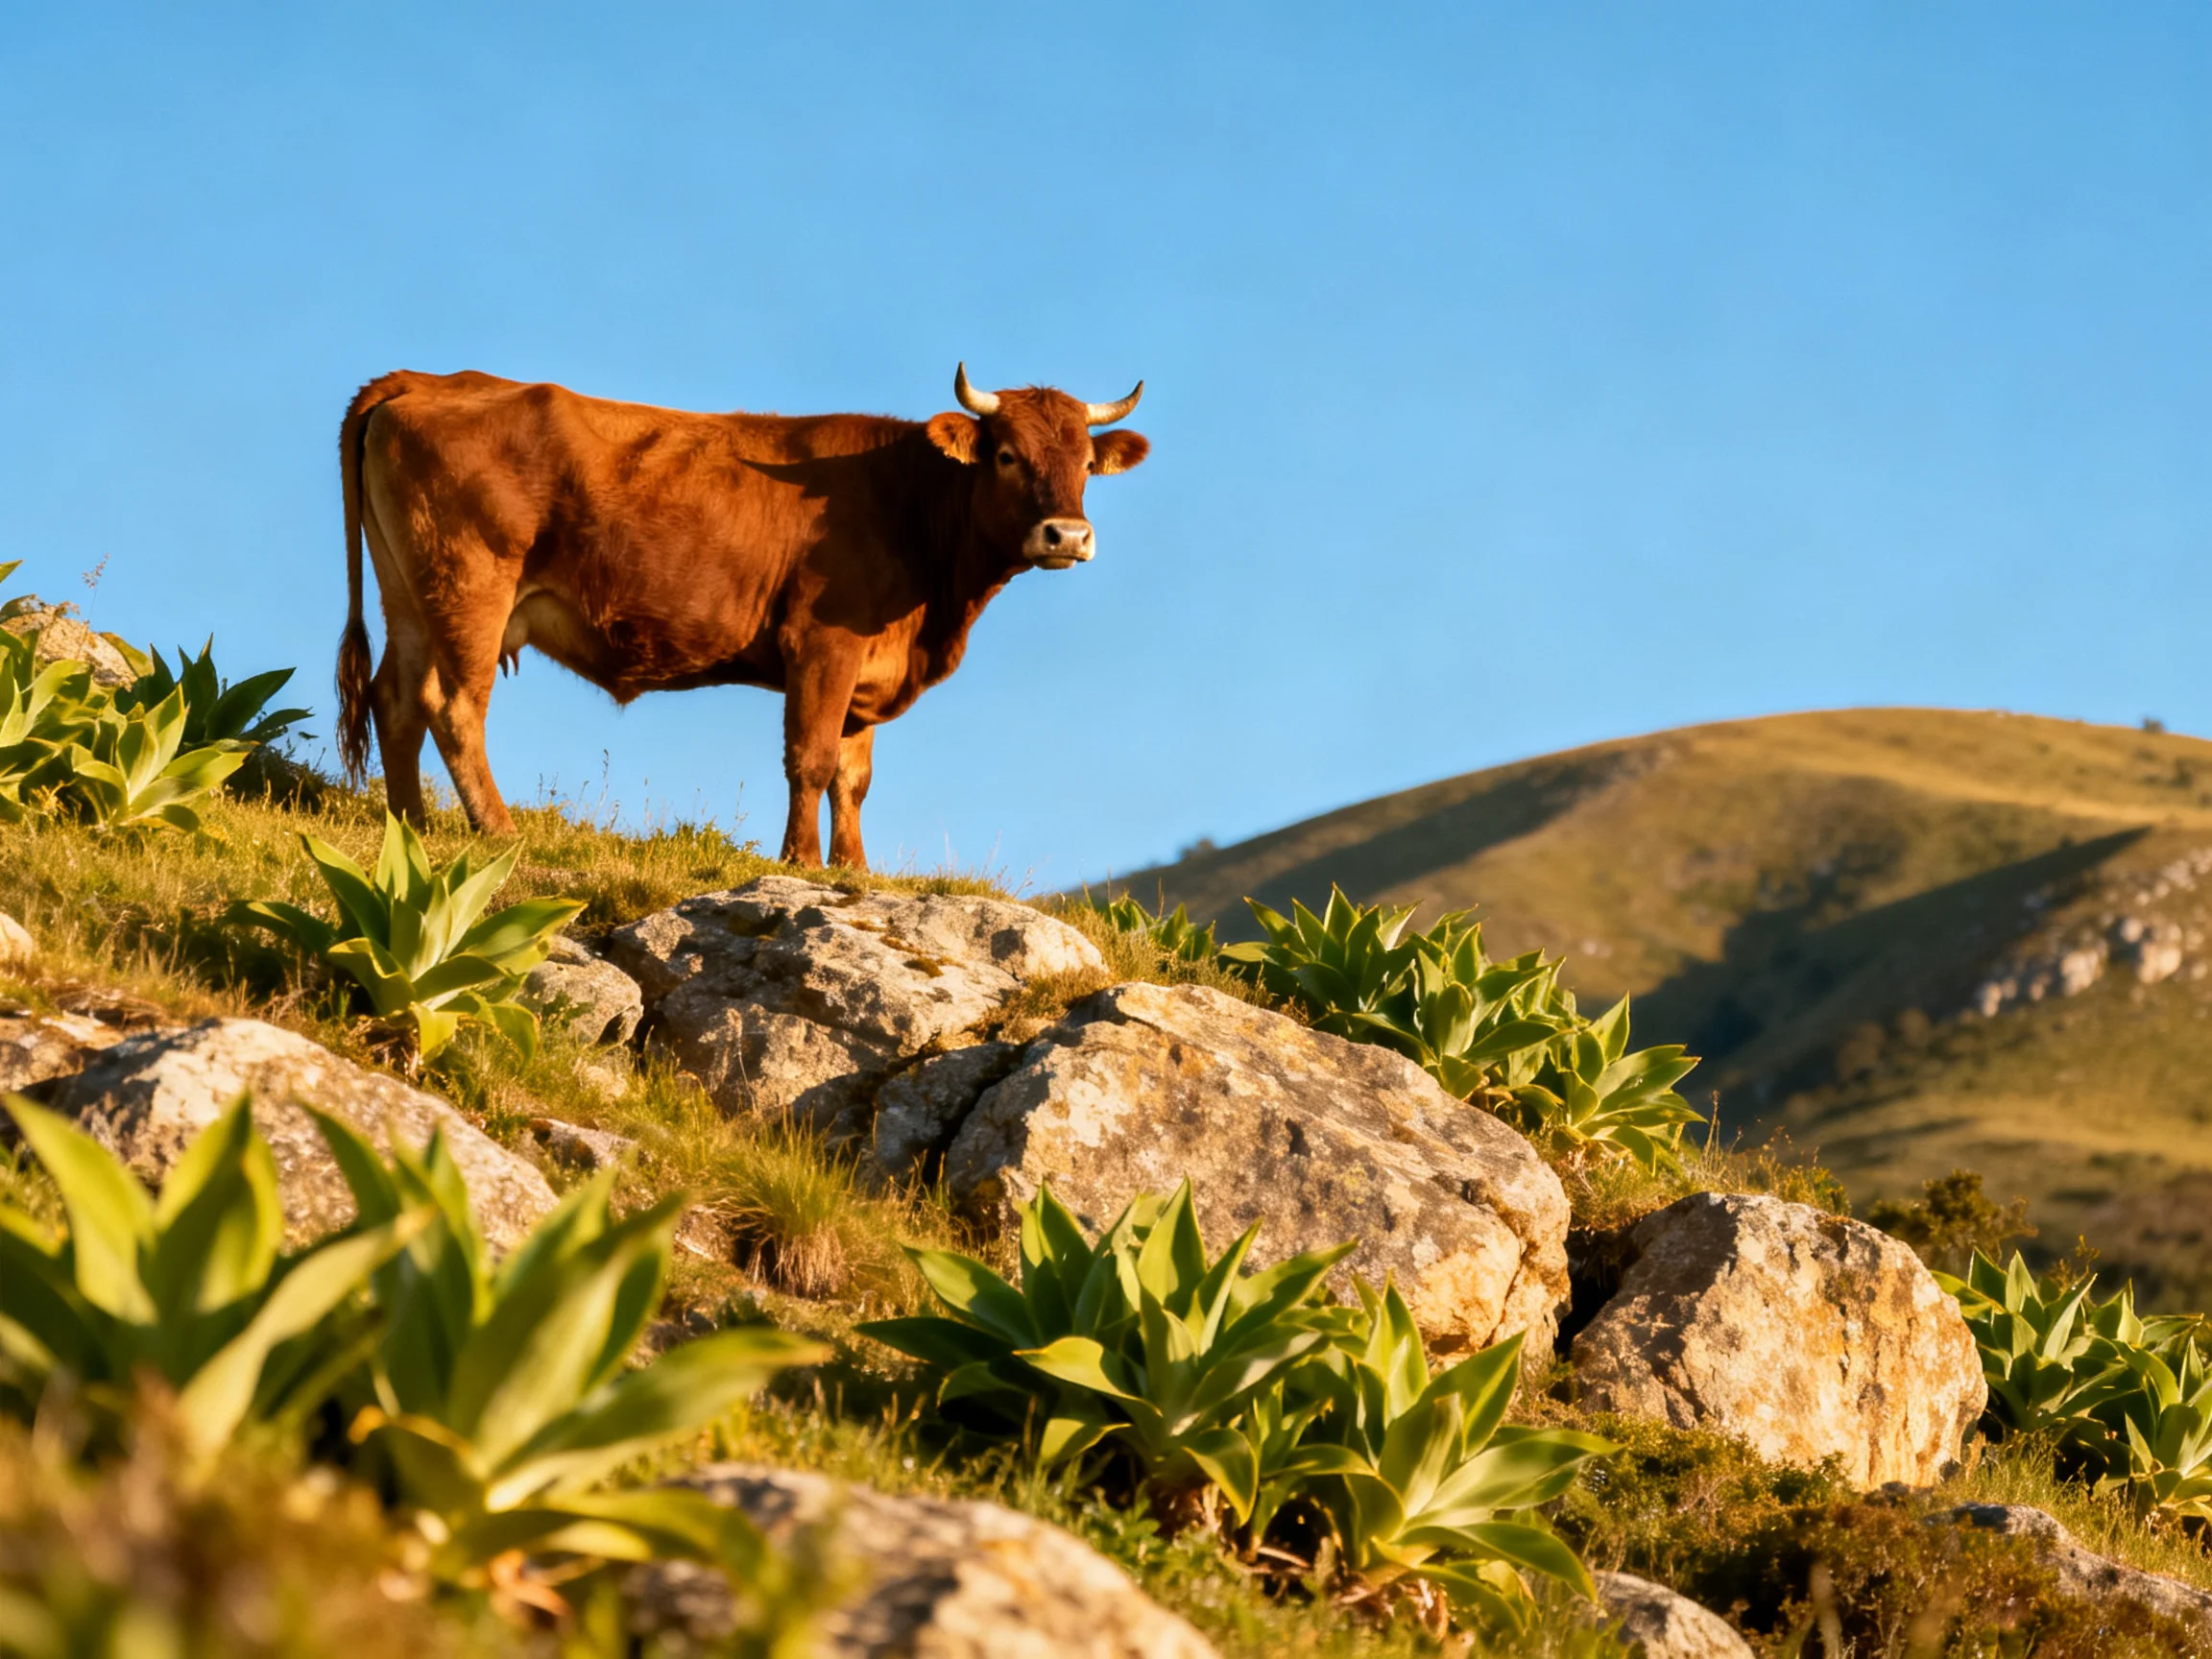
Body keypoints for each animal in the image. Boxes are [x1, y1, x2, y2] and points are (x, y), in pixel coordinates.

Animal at [334, 365, 1148, 869]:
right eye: (1007, 455)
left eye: (1085, 464)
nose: (1067, 536)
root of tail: (427, 379)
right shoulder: (822, 643)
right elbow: (811, 759)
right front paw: (802, 862)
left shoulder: (866, 667)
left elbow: (854, 776)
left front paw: (855, 870)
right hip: (471, 584)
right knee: (453, 704)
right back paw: (498, 831)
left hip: (410, 592)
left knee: (395, 702)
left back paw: (410, 826)